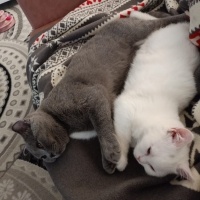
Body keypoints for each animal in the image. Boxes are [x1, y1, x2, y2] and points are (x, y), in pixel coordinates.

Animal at [12, 11, 189, 173]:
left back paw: (185, 18)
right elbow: (106, 127)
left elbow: (102, 126)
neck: (67, 125)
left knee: (160, 22)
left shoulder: (94, 96)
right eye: (41, 156)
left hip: (137, 30)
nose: (50, 156)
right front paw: (108, 164)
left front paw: (111, 154)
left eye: (39, 144)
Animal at [114, 21, 200, 180]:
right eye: (149, 150)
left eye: (152, 168)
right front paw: (121, 160)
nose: (138, 159)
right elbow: (123, 138)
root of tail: (185, 25)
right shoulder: (124, 108)